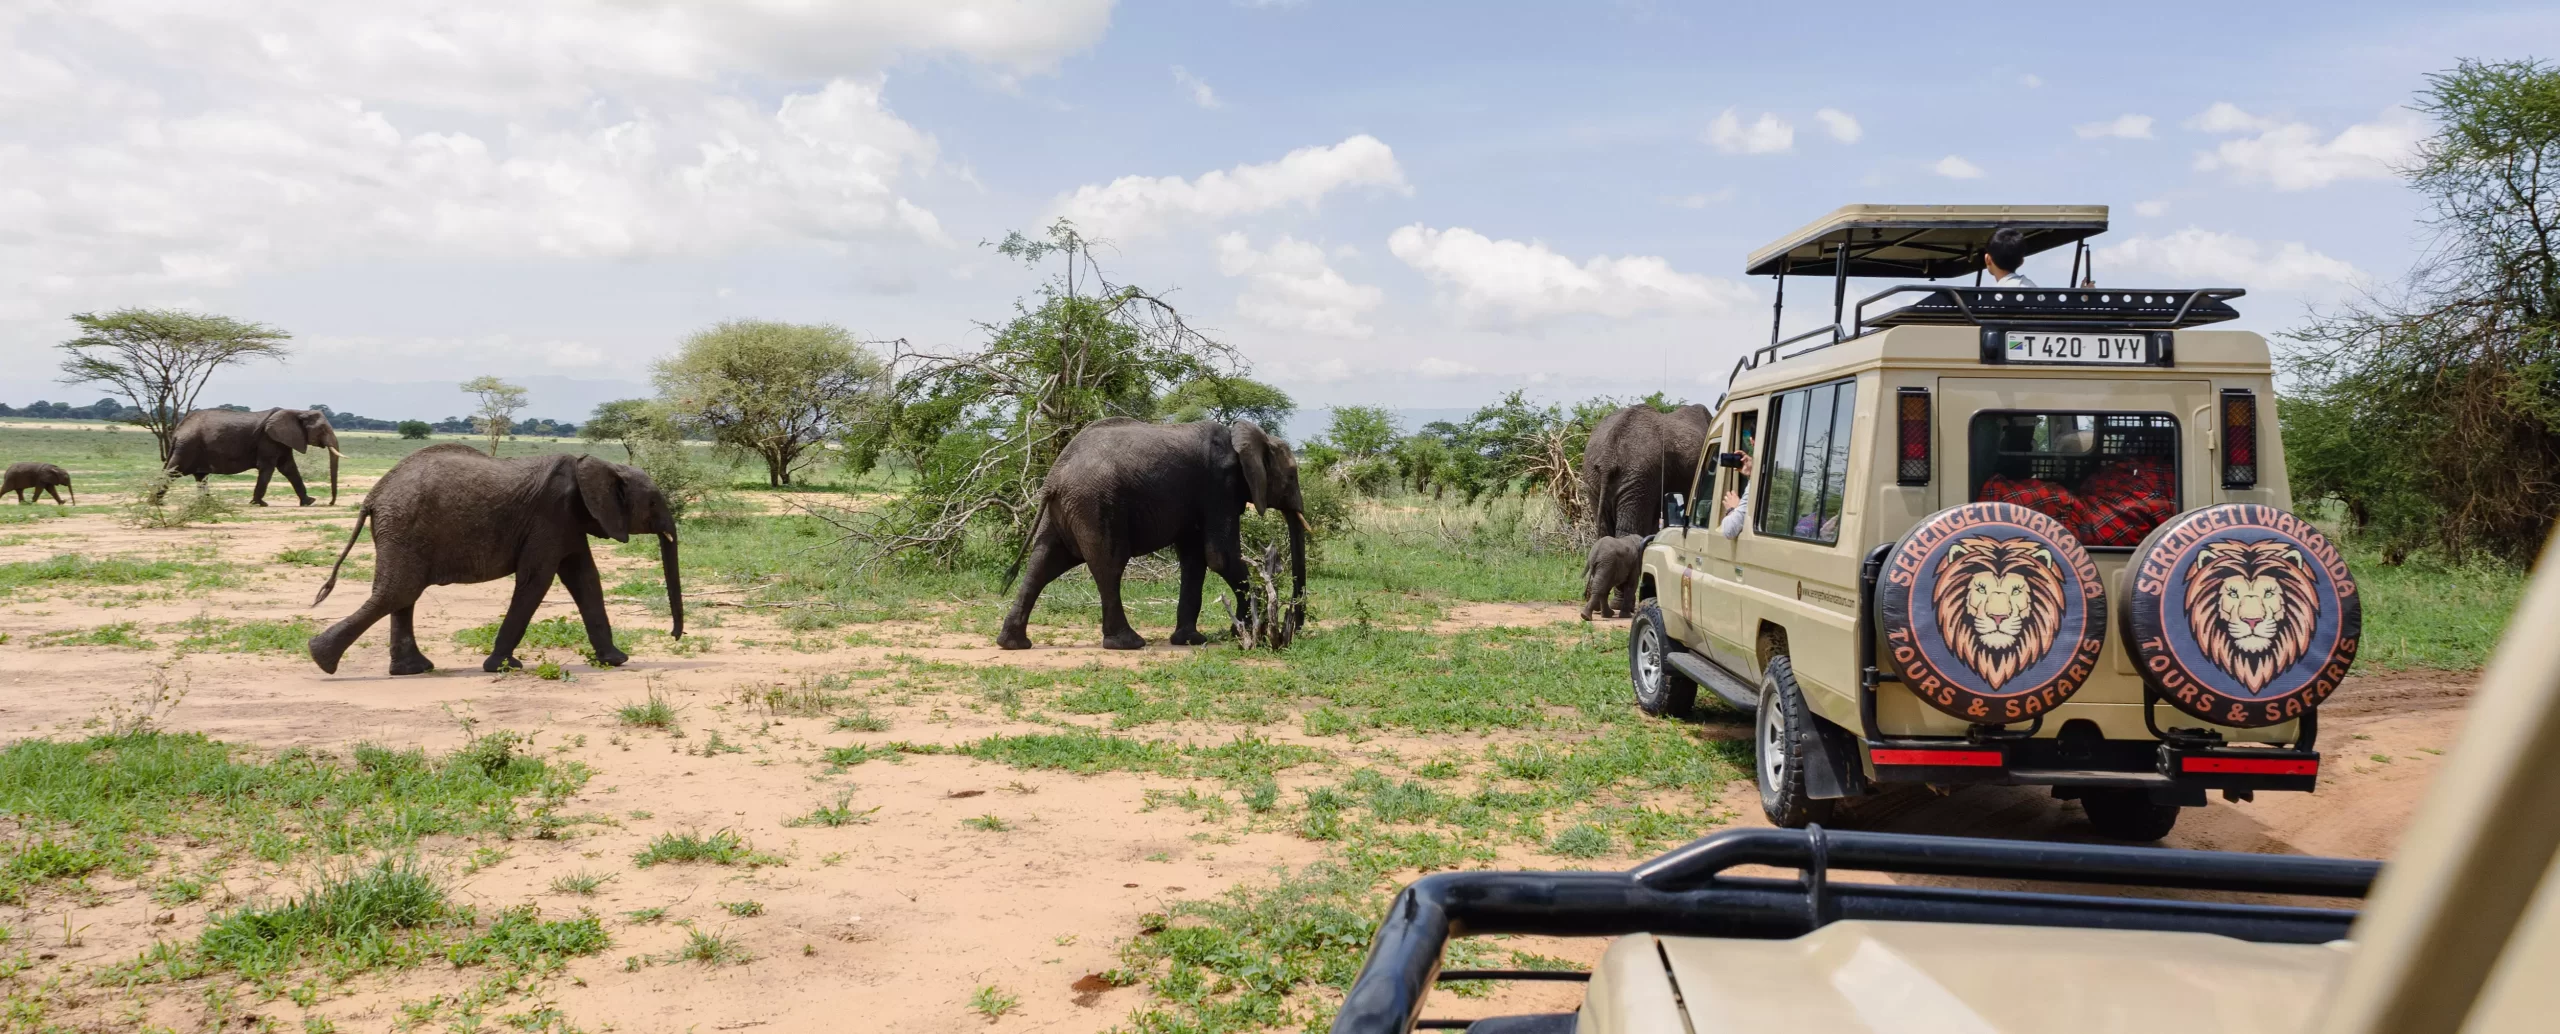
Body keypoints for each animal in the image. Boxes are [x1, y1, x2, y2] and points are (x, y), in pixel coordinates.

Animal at [167, 406, 343, 506]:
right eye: (322, 430)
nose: (330, 503)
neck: (298, 412)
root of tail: (178, 430)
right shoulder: (269, 439)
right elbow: (268, 468)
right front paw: (260, 504)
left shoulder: (282, 440)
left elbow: (289, 468)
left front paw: (309, 502)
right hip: (188, 447)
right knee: (172, 472)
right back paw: (159, 502)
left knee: (200, 476)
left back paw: (207, 503)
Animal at [305, 445, 686, 680]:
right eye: (653, 503)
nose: (674, 636)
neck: (596, 465)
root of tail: (373, 495)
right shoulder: (551, 517)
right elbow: (536, 581)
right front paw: (503, 667)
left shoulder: (569, 523)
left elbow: (585, 580)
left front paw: (615, 661)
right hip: (404, 526)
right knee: (398, 592)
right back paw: (321, 659)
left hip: (400, 531)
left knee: (401, 595)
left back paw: (410, 670)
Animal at [998, 417, 1310, 644]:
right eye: (1292, 476)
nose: (1295, 627)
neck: (1247, 437)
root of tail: (1054, 477)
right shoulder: (1219, 487)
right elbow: (1220, 557)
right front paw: (1240, 632)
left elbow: (1195, 560)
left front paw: (1190, 640)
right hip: (1095, 504)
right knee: (1110, 565)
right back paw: (1128, 643)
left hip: (1065, 509)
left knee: (1043, 562)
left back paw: (1012, 643)